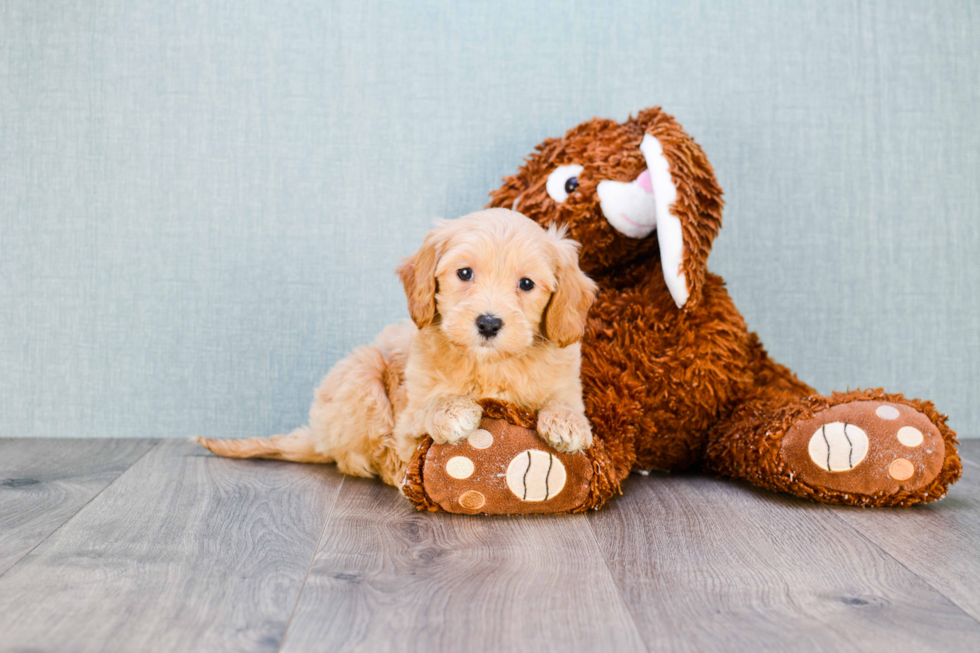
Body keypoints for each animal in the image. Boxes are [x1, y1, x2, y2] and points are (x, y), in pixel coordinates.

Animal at [195, 208, 596, 484]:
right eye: (464, 273)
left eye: (526, 284)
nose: (488, 323)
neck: (490, 363)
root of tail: (318, 436)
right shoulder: (409, 414)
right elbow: (427, 410)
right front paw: (453, 411)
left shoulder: (567, 384)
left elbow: (562, 403)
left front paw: (568, 423)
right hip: (363, 372)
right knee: (360, 458)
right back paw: (399, 475)